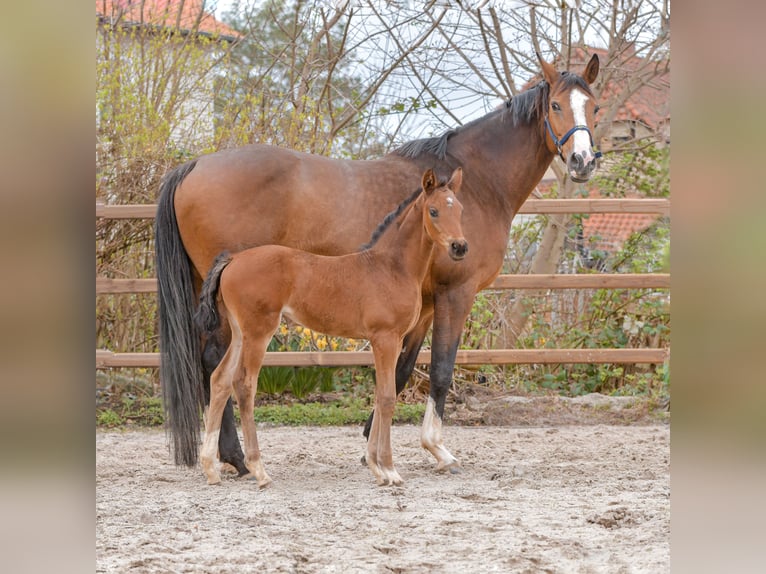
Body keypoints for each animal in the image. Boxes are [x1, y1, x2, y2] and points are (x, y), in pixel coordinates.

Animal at [194, 169, 468, 488]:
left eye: (459, 209)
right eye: (434, 211)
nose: (460, 247)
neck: (391, 268)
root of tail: (233, 259)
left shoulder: (386, 340)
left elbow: (379, 394)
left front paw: (376, 468)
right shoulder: (386, 338)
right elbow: (388, 398)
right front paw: (390, 470)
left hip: (239, 333)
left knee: (220, 380)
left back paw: (210, 468)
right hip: (258, 332)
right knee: (244, 384)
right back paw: (259, 469)